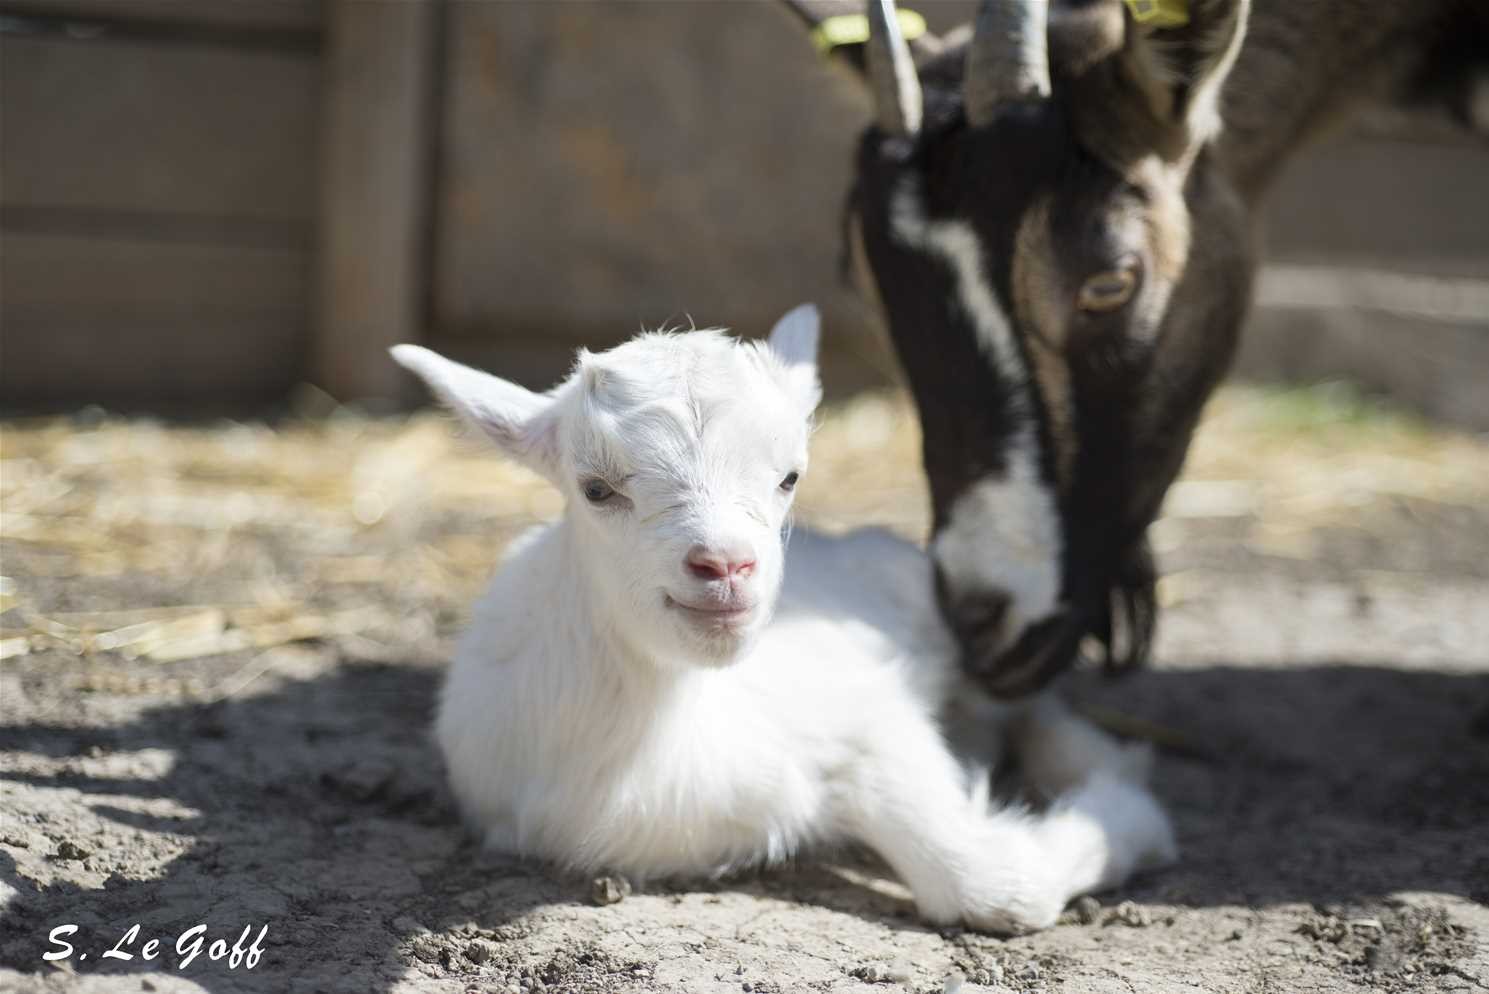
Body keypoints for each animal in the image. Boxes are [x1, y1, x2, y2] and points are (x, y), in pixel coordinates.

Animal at [393, 306, 1173, 934]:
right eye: (596, 488)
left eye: (789, 476)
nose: (724, 565)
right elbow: (993, 882)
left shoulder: (868, 713)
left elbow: (992, 883)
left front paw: (1126, 808)